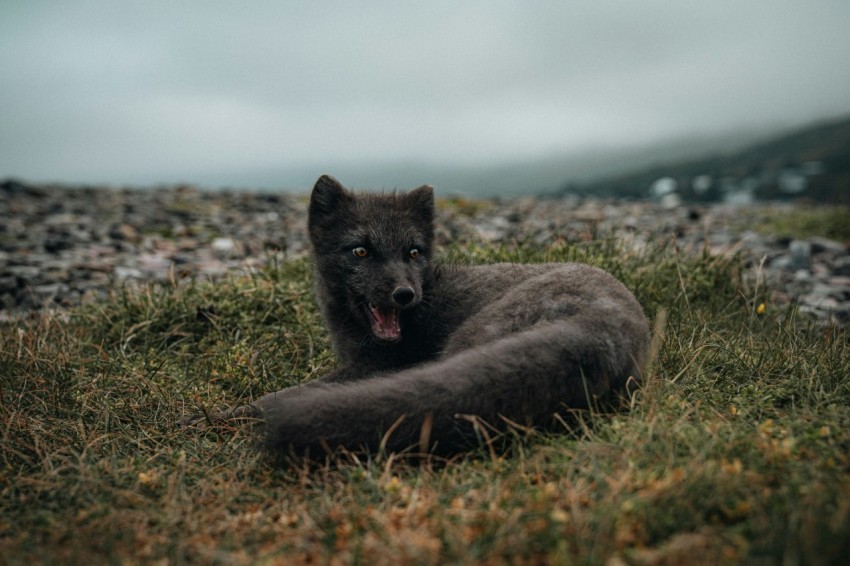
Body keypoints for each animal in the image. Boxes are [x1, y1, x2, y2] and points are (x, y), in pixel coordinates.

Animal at [229, 175, 644, 460]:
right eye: (361, 251)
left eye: (413, 252)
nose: (404, 294)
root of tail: (606, 328)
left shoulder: (374, 367)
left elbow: (274, 397)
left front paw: (224, 414)